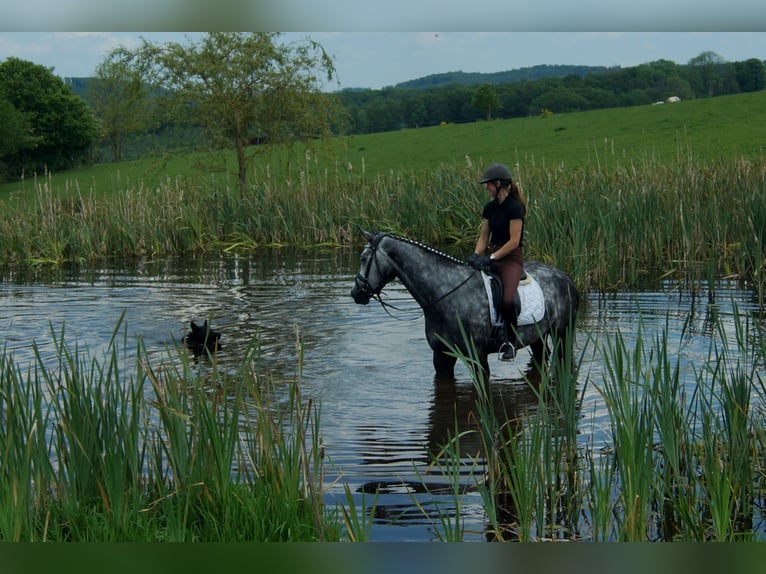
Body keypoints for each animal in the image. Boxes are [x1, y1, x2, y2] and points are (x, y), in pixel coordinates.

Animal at [352, 230, 580, 382]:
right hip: (537, 337)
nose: (355, 293)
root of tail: (565, 277)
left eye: (363, 258)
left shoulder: (477, 358)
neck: (446, 293)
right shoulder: (441, 357)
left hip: (562, 333)